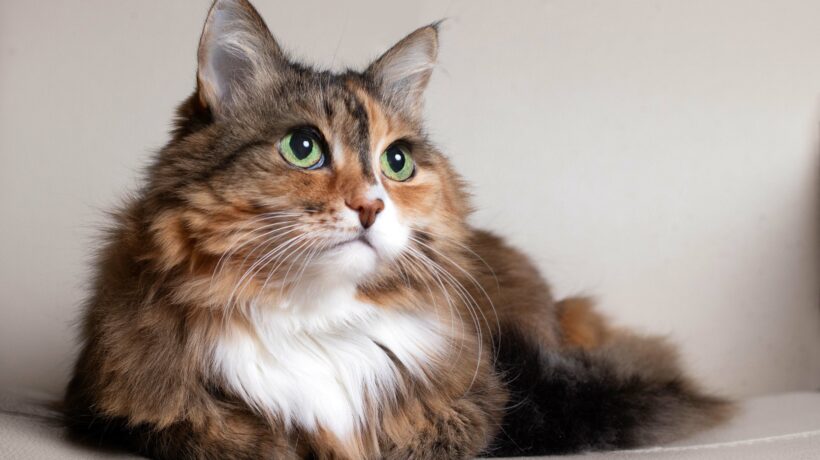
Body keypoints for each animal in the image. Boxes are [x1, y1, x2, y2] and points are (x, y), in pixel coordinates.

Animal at [62, 0, 732, 460]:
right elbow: (236, 439)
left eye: (398, 161)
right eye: (303, 148)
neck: (315, 318)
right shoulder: (122, 411)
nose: (371, 207)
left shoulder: (474, 410)